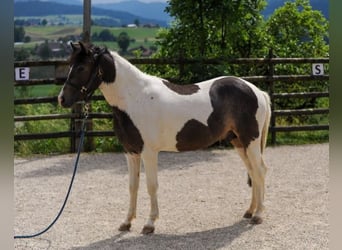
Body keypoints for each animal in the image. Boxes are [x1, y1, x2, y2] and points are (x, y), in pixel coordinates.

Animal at [59, 41, 272, 234]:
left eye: (81, 67)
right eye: (69, 64)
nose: (62, 99)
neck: (135, 98)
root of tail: (257, 91)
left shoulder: (149, 153)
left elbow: (151, 186)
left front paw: (149, 224)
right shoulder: (130, 152)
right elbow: (132, 186)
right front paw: (127, 222)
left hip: (251, 141)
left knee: (260, 171)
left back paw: (259, 215)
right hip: (239, 142)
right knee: (253, 172)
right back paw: (250, 211)